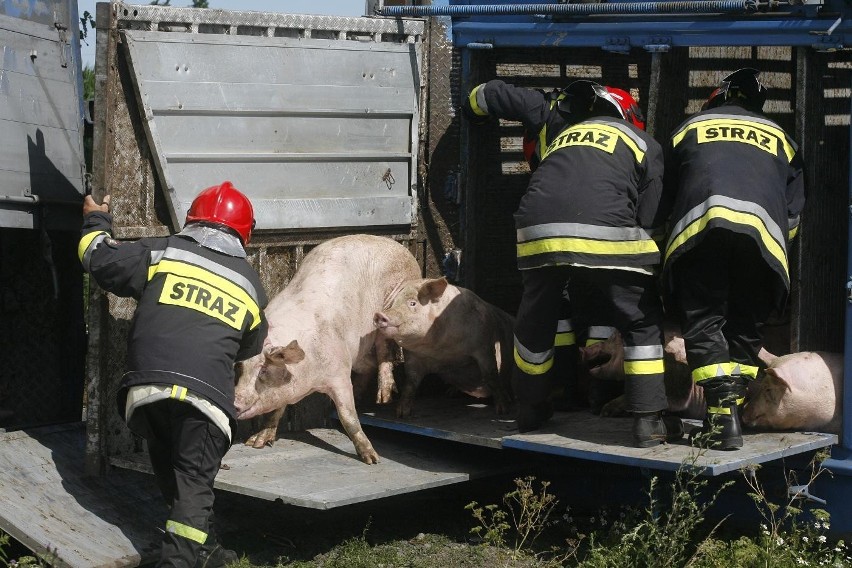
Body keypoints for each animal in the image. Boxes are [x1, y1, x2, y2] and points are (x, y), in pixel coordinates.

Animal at [235, 233, 422, 464]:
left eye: (263, 370)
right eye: (241, 368)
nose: (235, 402)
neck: (309, 379)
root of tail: (401, 247)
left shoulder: (339, 373)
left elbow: (347, 416)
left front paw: (372, 459)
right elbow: (276, 409)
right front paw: (255, 443)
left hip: (390, 310)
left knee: (384, 351)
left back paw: (385, 399)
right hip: (357, 351)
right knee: (369, 364)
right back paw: (363, 394)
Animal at [372, 278, 512, 420]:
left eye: (412, 303)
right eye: (394, 304)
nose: (379, 314)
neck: (443, 352)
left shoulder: (484, 346)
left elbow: (491, 375)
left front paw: (502, 411)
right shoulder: (413, 357)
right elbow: (410, 382)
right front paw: (401, 414)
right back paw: (450, 393)